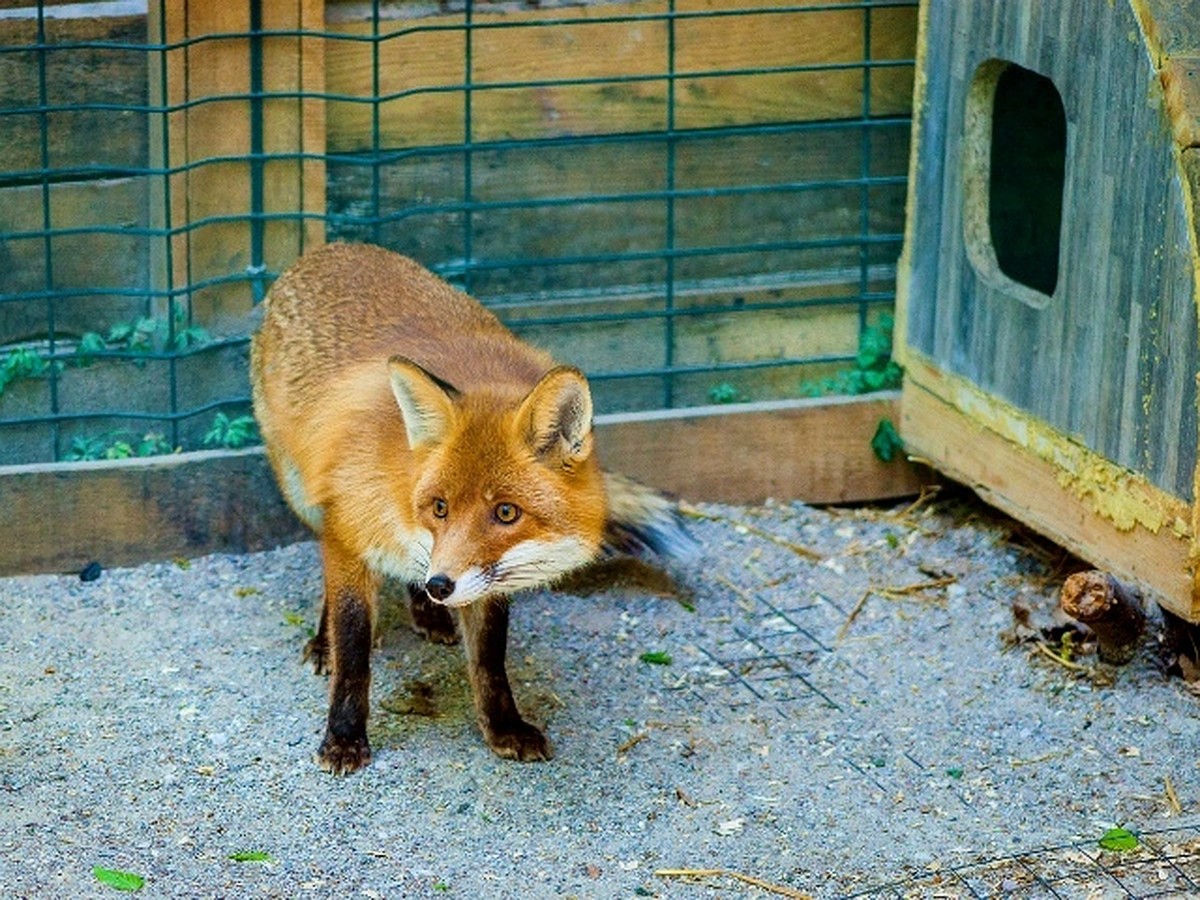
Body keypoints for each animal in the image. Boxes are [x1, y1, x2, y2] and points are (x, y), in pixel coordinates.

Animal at [253, 244, 696, 777]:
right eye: (439, 507)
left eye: (506, 513)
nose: (440, 586)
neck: (399, 486)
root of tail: (332, 248)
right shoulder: (347, 530)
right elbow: (354, 649)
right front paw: (343, 735)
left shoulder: (485, 578)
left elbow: (489, 660)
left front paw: (503, 727)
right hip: (301, 490)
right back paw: (330, 640)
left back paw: (427, 611)